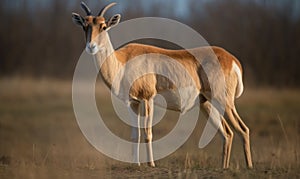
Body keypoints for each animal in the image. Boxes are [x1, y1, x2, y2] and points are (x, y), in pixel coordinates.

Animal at [72, 2, 253, 169]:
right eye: (85, 26)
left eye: (103, 26)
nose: (91, 47)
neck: (123, 61)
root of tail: (232, 59)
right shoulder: (133, 103)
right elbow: (135, 134)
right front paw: (136, 164)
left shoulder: (147, 99)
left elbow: (148, 133)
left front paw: (151, 164)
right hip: (207, 104)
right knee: (227, 133)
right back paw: (224, 167)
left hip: (224, 101)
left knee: (243, 129)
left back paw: (249, 167)